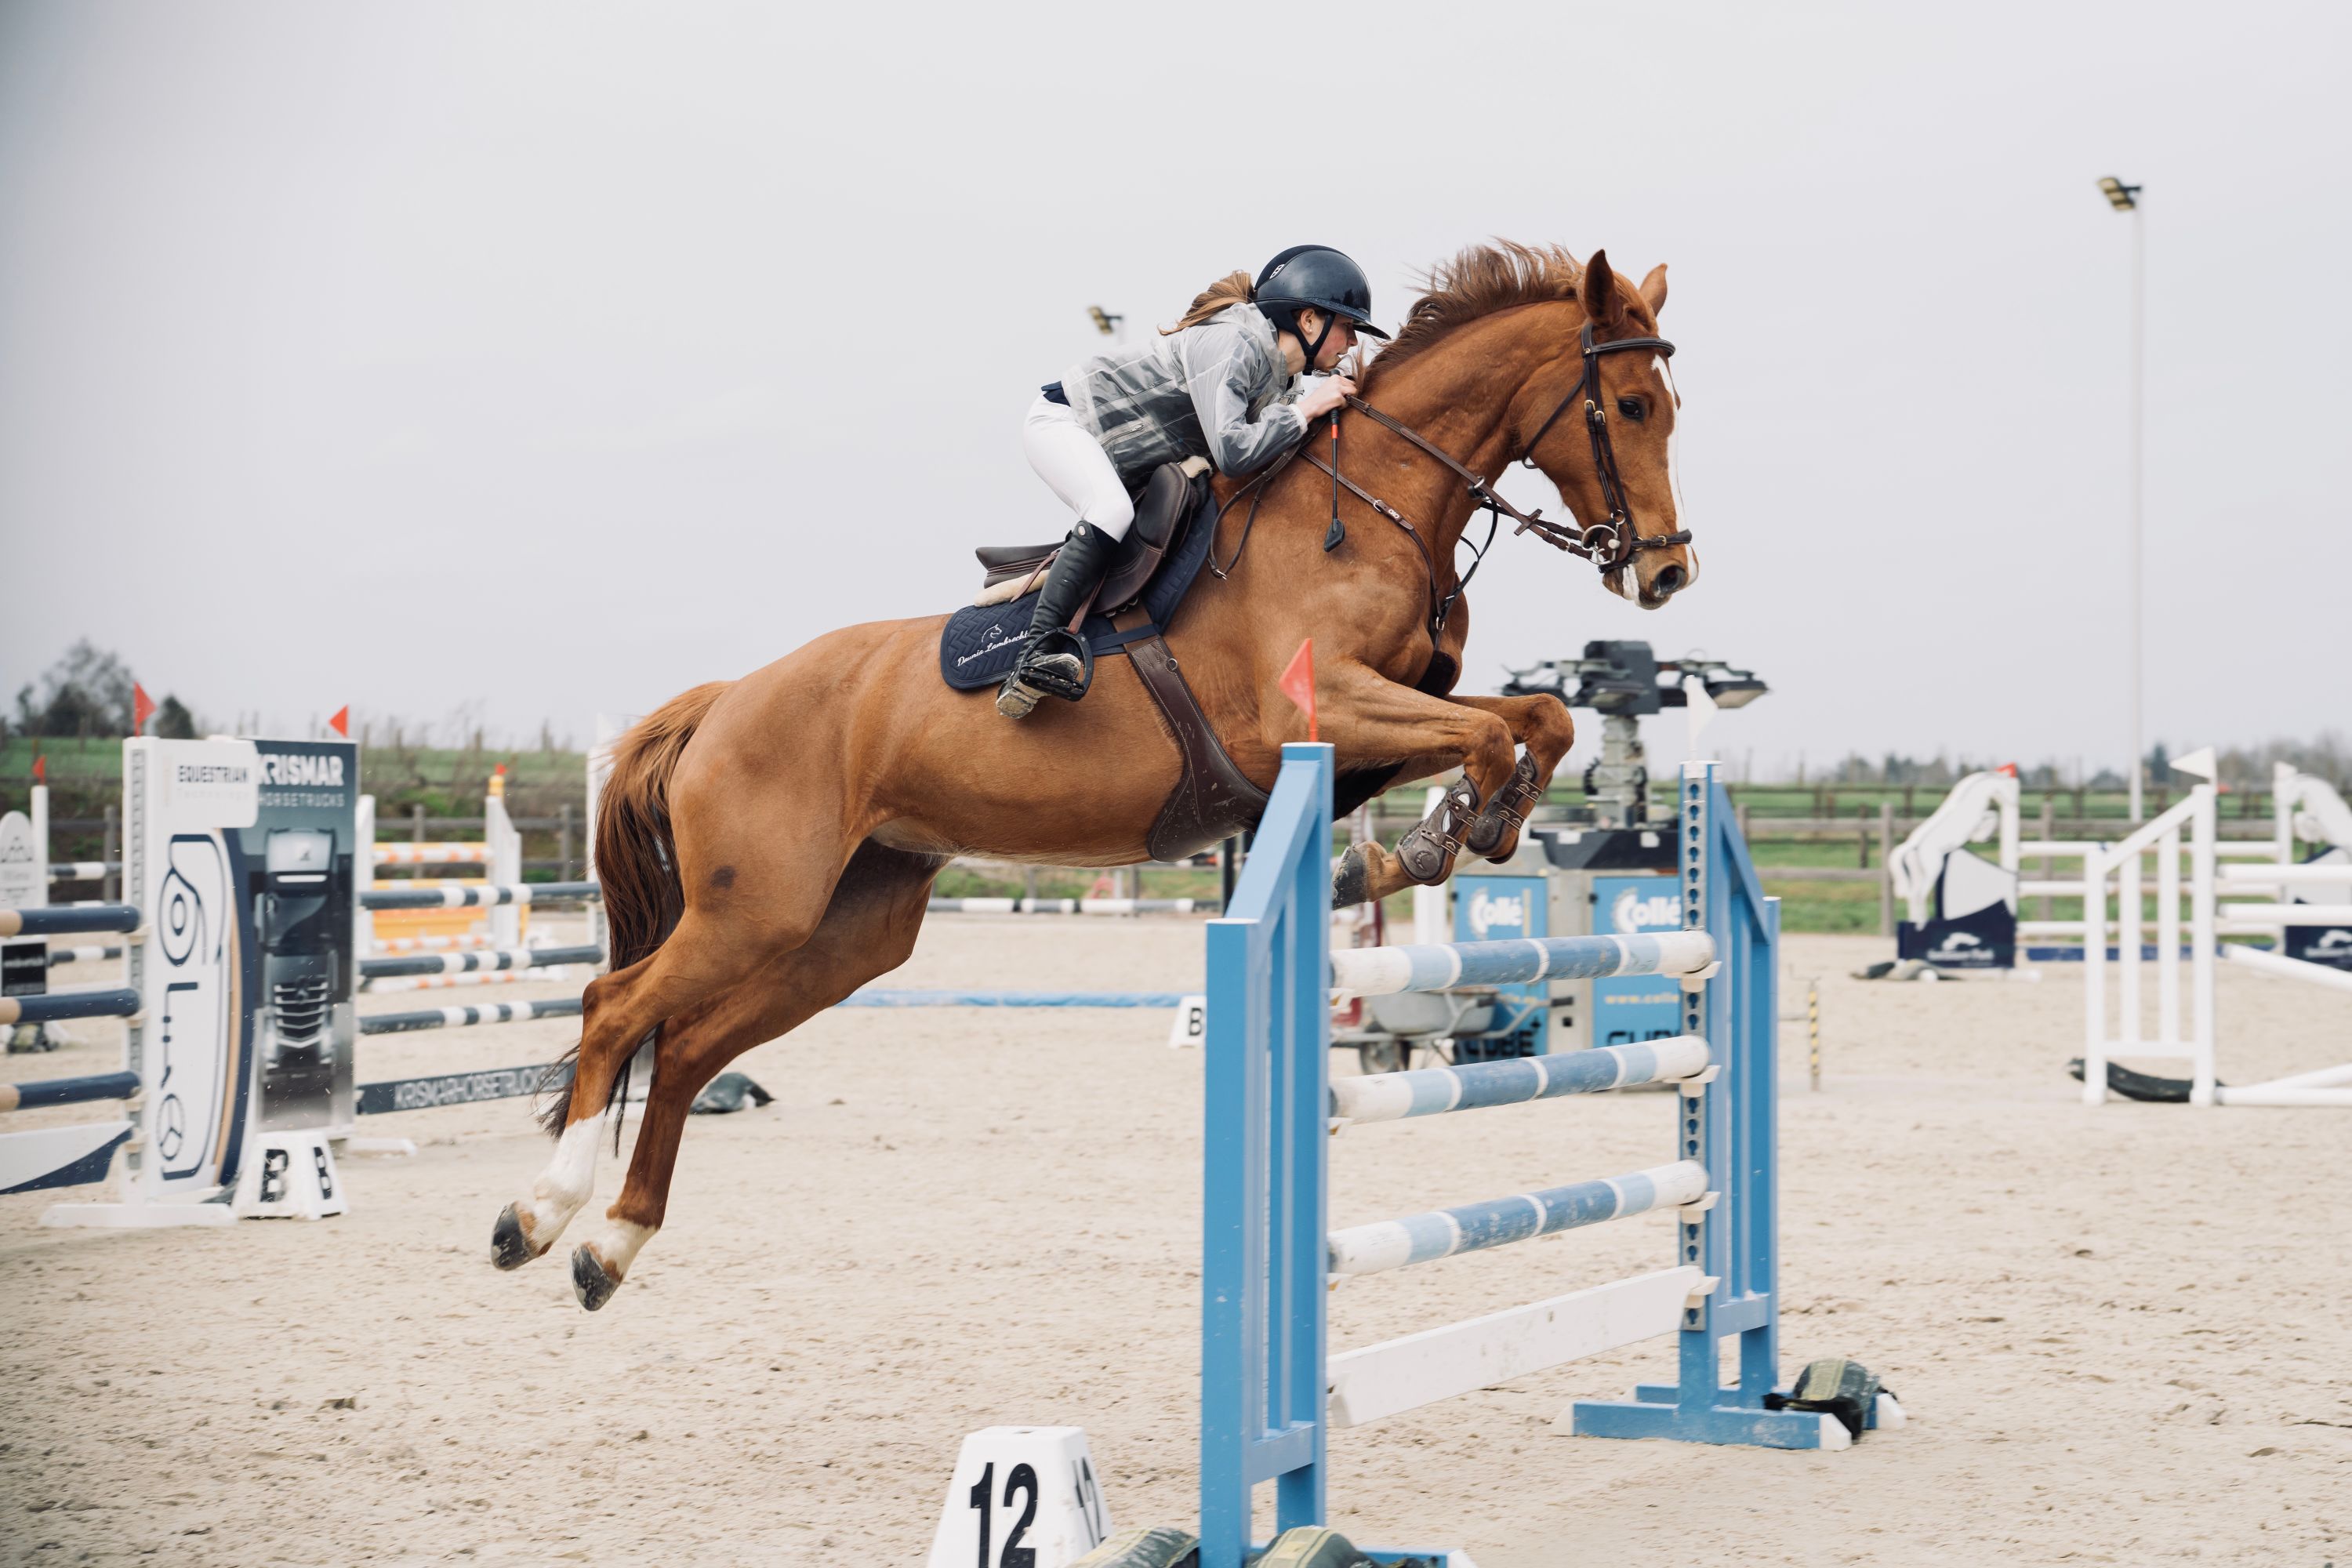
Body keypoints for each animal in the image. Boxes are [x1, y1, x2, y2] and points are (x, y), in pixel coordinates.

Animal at [492, 241, 1696, 1311]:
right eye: (1633, 406)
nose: (1669, 572)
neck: (1370, 508)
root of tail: (727, 698)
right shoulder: (1318, 707)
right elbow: (1490, 736)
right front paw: (1429, 843)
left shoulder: (1381, 725)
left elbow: (1531, 720)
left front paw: (1450, 834)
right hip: (758, 909)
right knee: (615, 1007)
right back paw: (539, 1215)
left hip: (844, 932)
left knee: (690, 1045)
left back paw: (611, 1245)